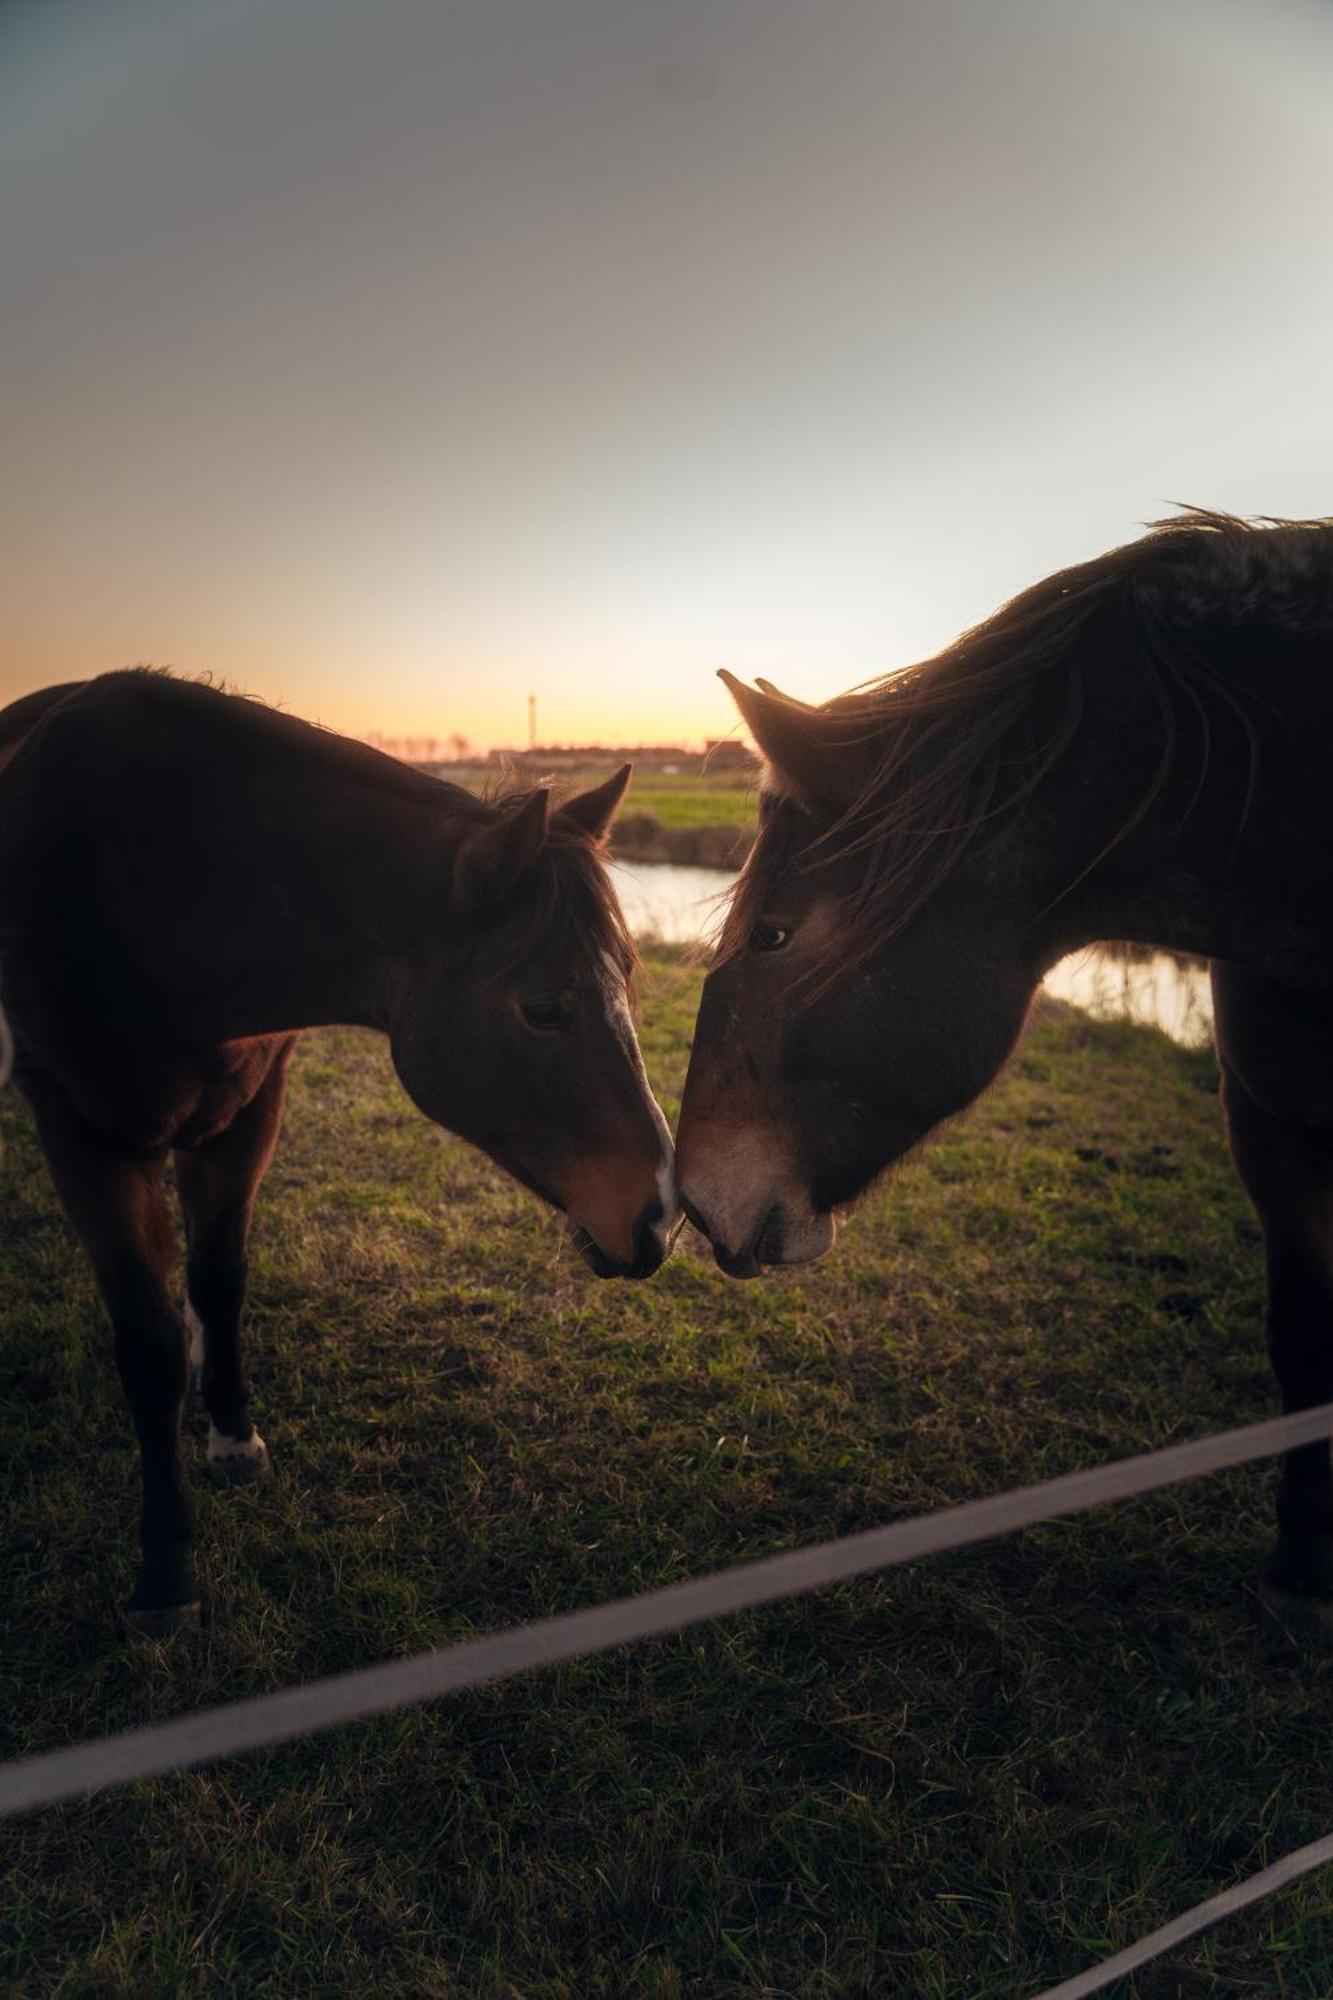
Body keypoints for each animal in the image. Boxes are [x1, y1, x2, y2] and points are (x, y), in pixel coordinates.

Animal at [0, 664, 676, 1632]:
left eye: (628, 976)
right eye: (545, 1008)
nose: (662, 1218)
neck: (151, 886)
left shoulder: (247, 1115)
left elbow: (219, 1280)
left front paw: (231, 1435)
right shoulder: (82, 1136)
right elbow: (147, 1346)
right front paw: (165, 1572)